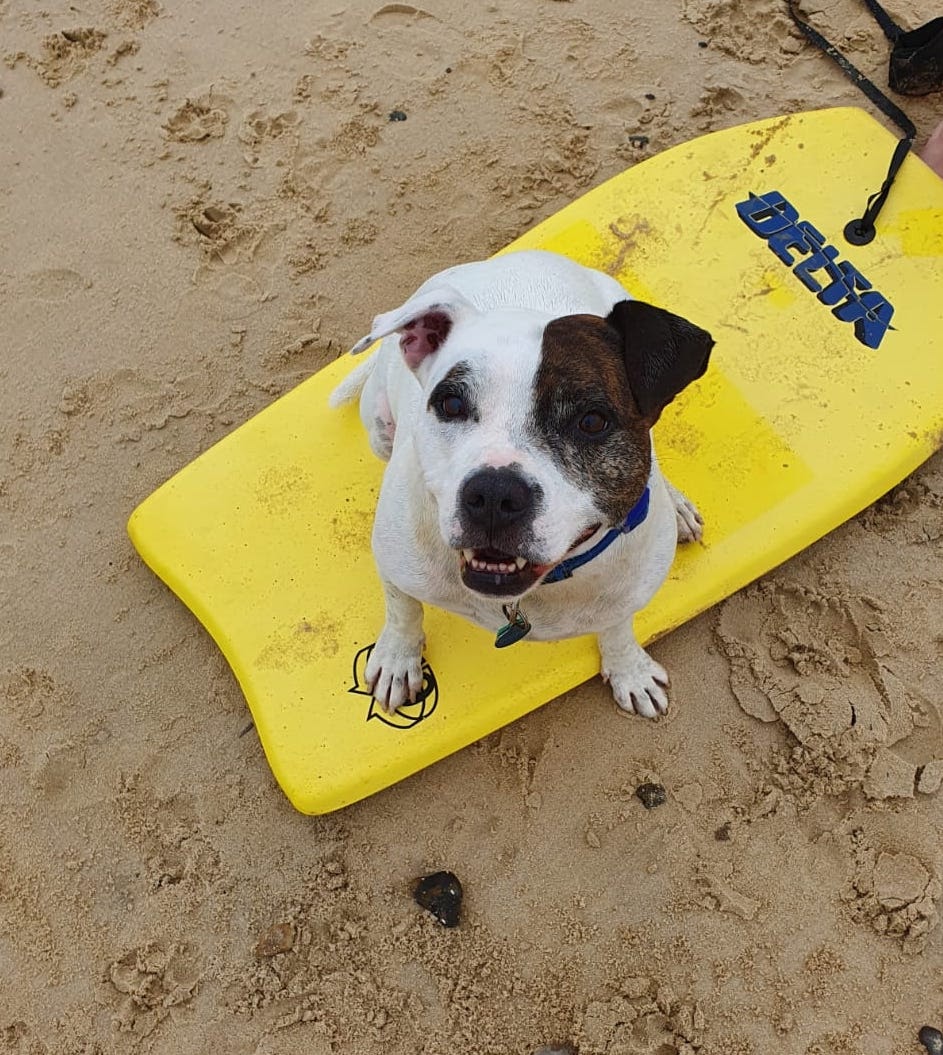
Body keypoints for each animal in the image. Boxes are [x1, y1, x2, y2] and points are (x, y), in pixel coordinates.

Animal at [333, 251, 717, 721]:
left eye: (592, 421)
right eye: (451, 404)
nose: (494, 494)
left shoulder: (626, 595)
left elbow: (618, 629)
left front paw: (630, 669)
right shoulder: (393, 561)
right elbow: (402, 608)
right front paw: (396, 658)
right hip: (378, 426)